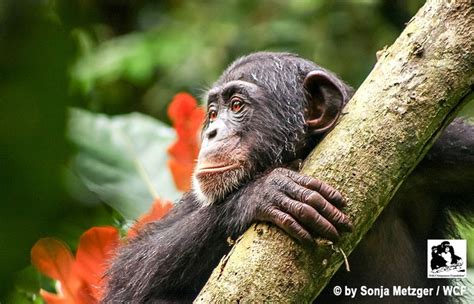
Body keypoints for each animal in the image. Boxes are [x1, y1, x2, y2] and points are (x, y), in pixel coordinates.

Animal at [102, 52, 472, 304]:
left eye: (237, 106)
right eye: (213, 112)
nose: (210, 132)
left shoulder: (445, 149)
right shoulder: (196, 197)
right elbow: (127, 275)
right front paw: (262, 193)